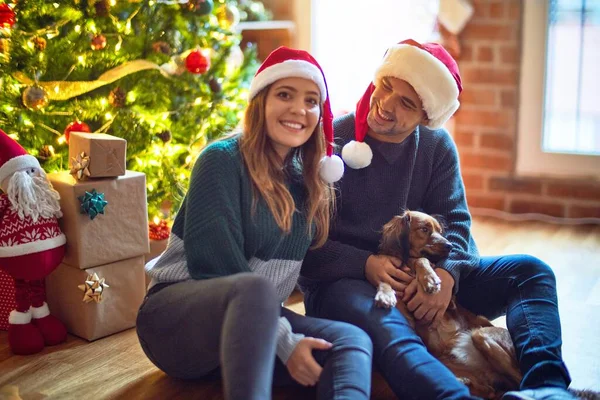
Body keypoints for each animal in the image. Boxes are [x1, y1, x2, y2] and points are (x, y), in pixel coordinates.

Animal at [372, 211, 524, 398]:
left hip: (481, 335)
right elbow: (384, 281)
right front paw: (384, 295)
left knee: (518, 379)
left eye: (439, 231)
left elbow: (422, 260)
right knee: (488, 390)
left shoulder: (450, 301)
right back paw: (465, 381)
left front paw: (429, 278)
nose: (450, 246)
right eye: (424, 229)